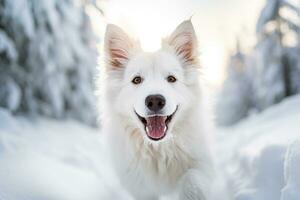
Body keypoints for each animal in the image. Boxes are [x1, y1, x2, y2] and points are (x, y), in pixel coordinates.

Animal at [102, 19, 214, 199]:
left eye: (171, 79)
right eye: (137, 80)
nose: (155, 101)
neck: (159, 149)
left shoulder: (202, 164)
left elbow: (192, 182)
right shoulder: (141, 189)